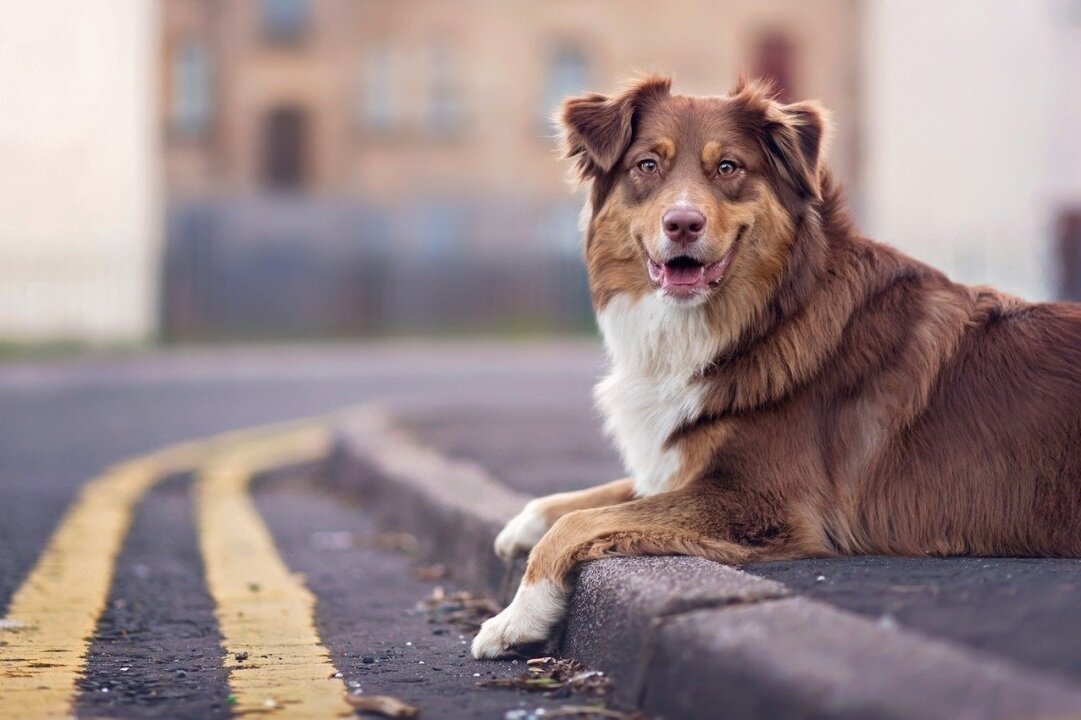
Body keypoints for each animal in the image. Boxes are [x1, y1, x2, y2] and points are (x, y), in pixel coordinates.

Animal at [471, 74, 1081, 657]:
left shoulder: (764, 502)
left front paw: (517, 617)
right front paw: (521, 525)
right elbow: (593, 497)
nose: (683, 224)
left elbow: (581, 521)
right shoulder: (687, 470)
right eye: (647, 165)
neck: (767, 318)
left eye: (728, 167)